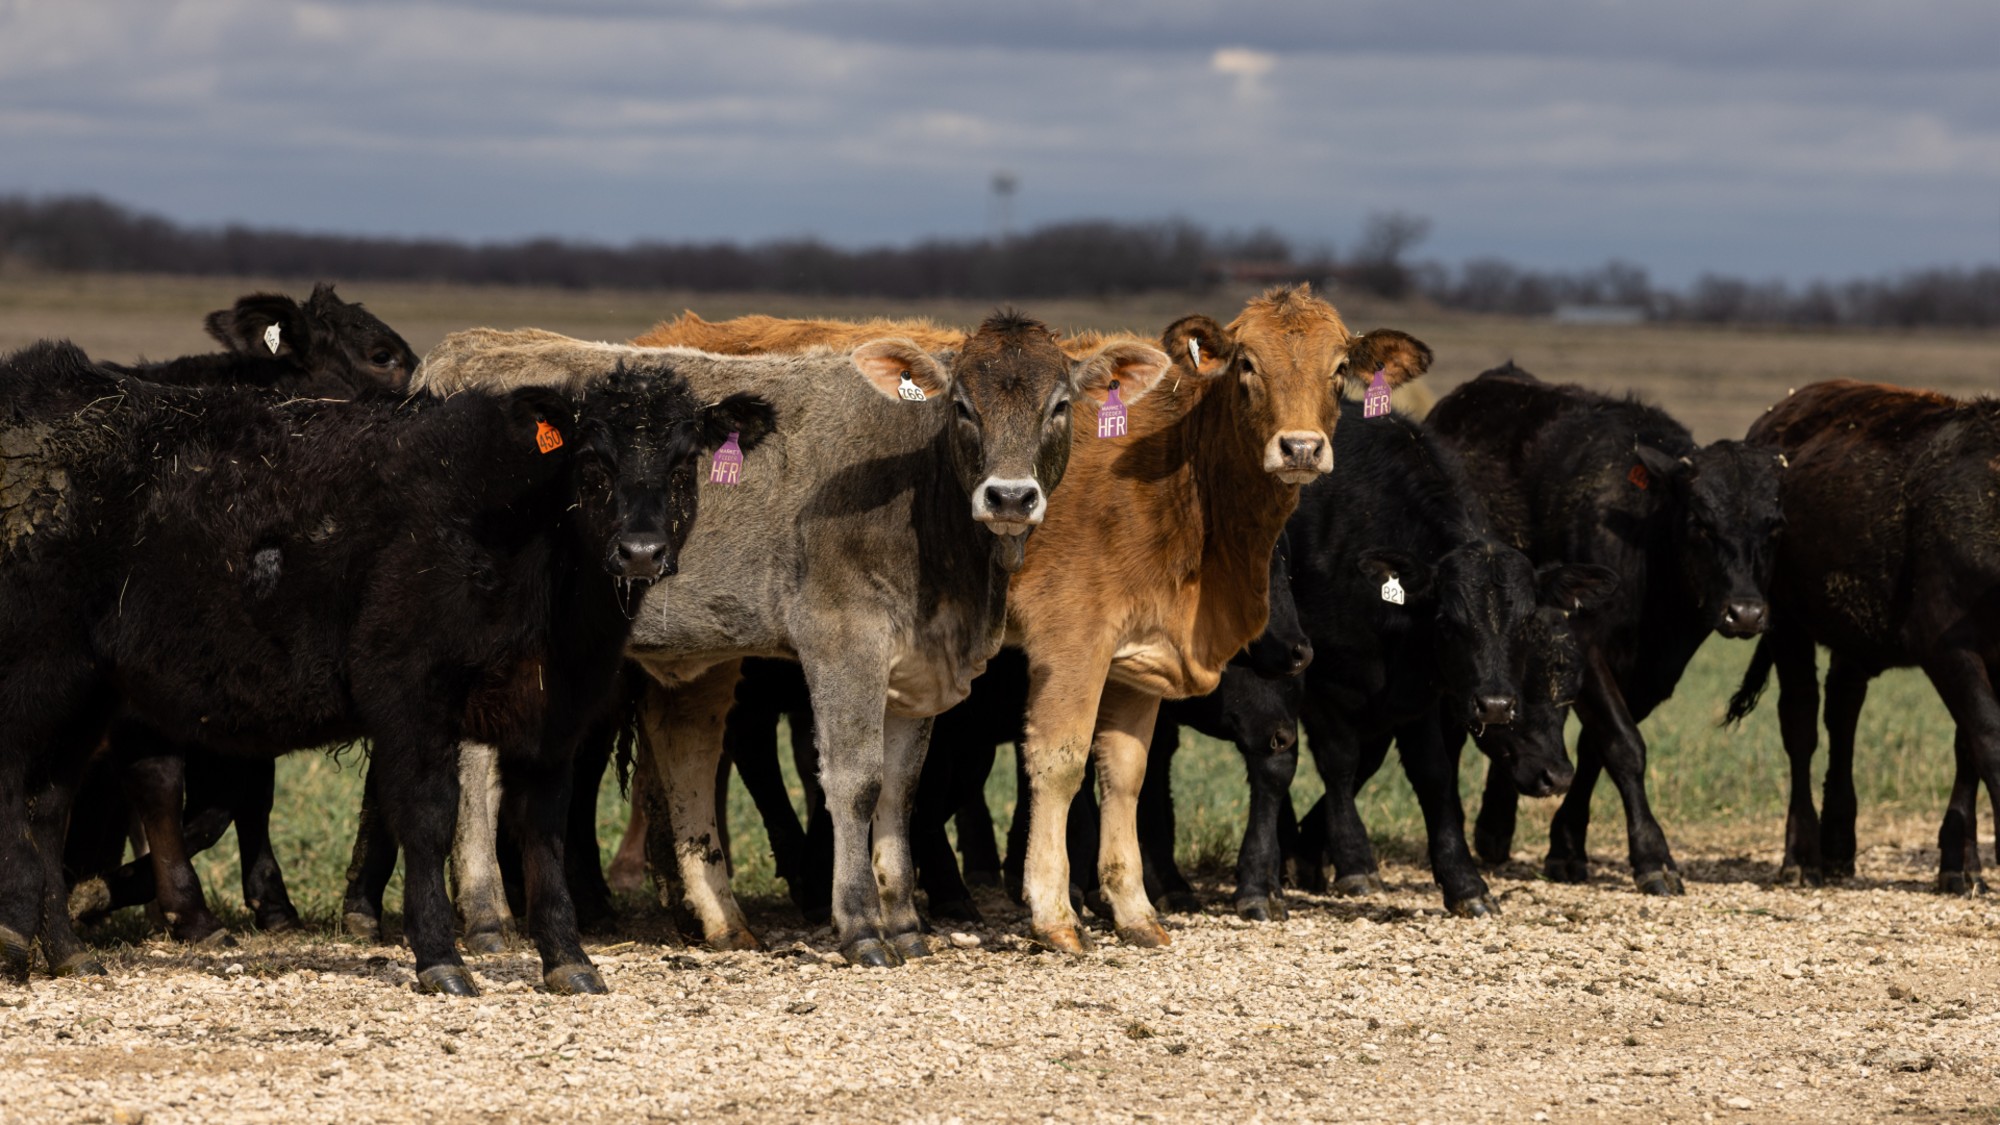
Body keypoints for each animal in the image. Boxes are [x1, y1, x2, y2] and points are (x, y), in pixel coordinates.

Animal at [0, 338, 769, 992]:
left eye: (682, 464)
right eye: (592, 463)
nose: (639, 550)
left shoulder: (554, 711)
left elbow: (544, 829)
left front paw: (568, 958)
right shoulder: (407, 692)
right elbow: (427, 818)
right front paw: (440, 957)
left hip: (85, 699)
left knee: (47, 809)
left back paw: (67, 952)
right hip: (36, 681)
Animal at [406, 318, 1172, 966]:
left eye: (1060, 406)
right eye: (961, 406)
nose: (1010, 497)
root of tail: (471, 349)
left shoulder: (916, 668)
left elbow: (900, 790)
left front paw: (905, 924)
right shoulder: (844, 642)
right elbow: (856, 783)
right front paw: (861, 927)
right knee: (477, 770)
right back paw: (487, 920)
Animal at [1427, 363, 1784, 893]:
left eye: (1774, 525)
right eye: (1700, 522)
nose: (1745, 613)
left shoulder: (1652, 673)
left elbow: (1595, 747)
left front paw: (1566, 848)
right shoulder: (1587, 647)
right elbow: (1624, 745)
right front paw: (1653, 857)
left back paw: (1495, 828)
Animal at [1724, 381, 2000, 891]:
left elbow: (1967, 747)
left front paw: (1961, 864)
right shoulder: (1944, 643)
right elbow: (1988, 737)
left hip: (1850, 637)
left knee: (1843, 713)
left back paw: (1837, 844)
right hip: (1783, 623)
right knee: (1801, 724)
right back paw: (1803, 855)